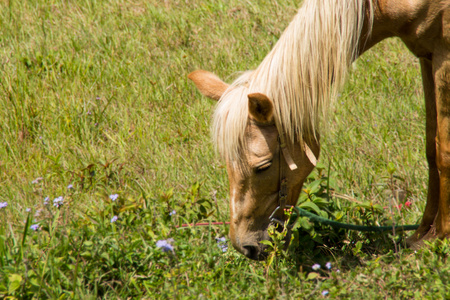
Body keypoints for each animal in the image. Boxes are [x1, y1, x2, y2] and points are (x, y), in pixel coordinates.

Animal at [188, 0, 450, 258]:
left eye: (263, 166)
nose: (245, 247)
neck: (379, 6)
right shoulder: (425, 55)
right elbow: (431, 146)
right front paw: (421, 236)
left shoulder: (442, 55)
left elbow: (443, 153)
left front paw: (439, 237)